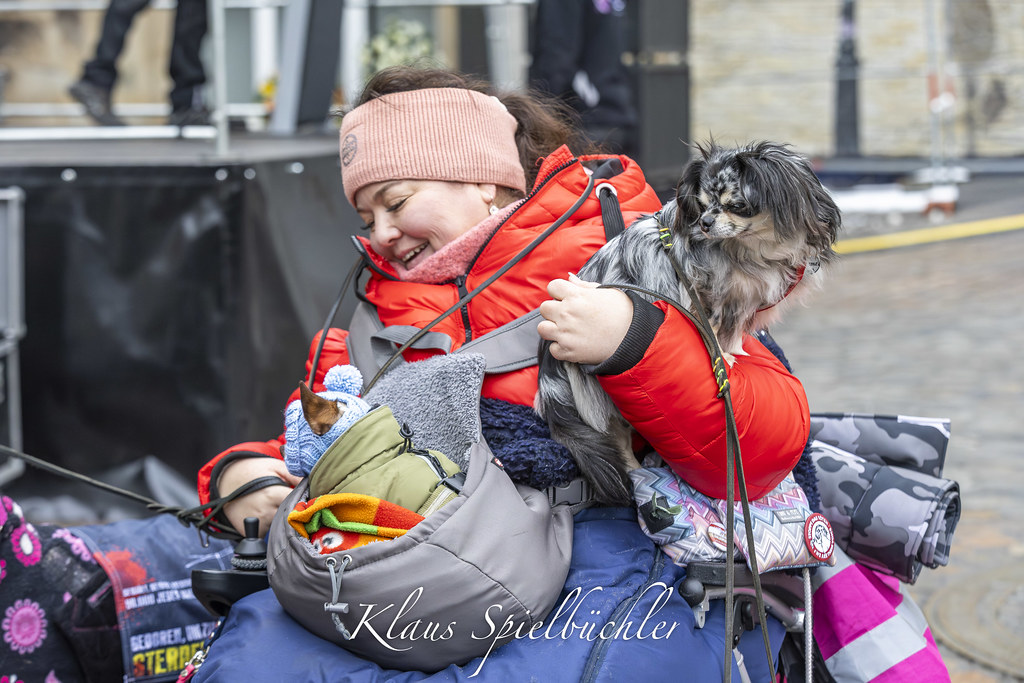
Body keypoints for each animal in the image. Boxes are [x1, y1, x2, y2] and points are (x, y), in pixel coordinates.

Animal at [536, 140, 841, 505]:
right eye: (704, 204)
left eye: (736, 205)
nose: (706, 223)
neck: (752, 247)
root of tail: (548, 362)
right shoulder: (709, 294)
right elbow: (715, 330)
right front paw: (725, 359)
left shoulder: (740, 299)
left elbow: (733, 331)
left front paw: (735, 353)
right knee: (618, 441)